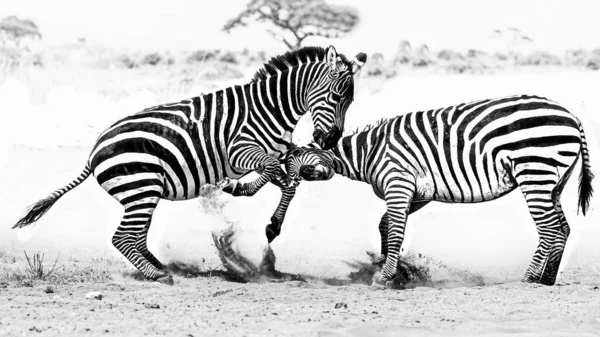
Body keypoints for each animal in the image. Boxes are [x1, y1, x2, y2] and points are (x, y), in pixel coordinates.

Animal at [12, 45, 366, 284]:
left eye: (350, 101)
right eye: (336, 97)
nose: (330, 141)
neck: (271, 110)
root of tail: (94, 150)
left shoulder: (278, 153)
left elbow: (288, 183)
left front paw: (270, 222)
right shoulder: (239, 151)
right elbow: (272, 173)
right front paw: (242, 191)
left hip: (143, 194)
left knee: (136, 237)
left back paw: (161, 266)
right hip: (142, 188)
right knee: (122, 238)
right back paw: (157, 275)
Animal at [278, 94, 592, 286]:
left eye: (294, 171)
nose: (273, 226)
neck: (370, 152)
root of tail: (571, 115)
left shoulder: (399, 182)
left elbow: (395, 231)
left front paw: (385, 277)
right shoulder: (418, 194)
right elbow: (385, 226)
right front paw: (395, 271)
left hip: (534, 170)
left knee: (549, 227)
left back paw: (528, 279)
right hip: (554, 180)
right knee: (562, 228)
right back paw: (546, 280)